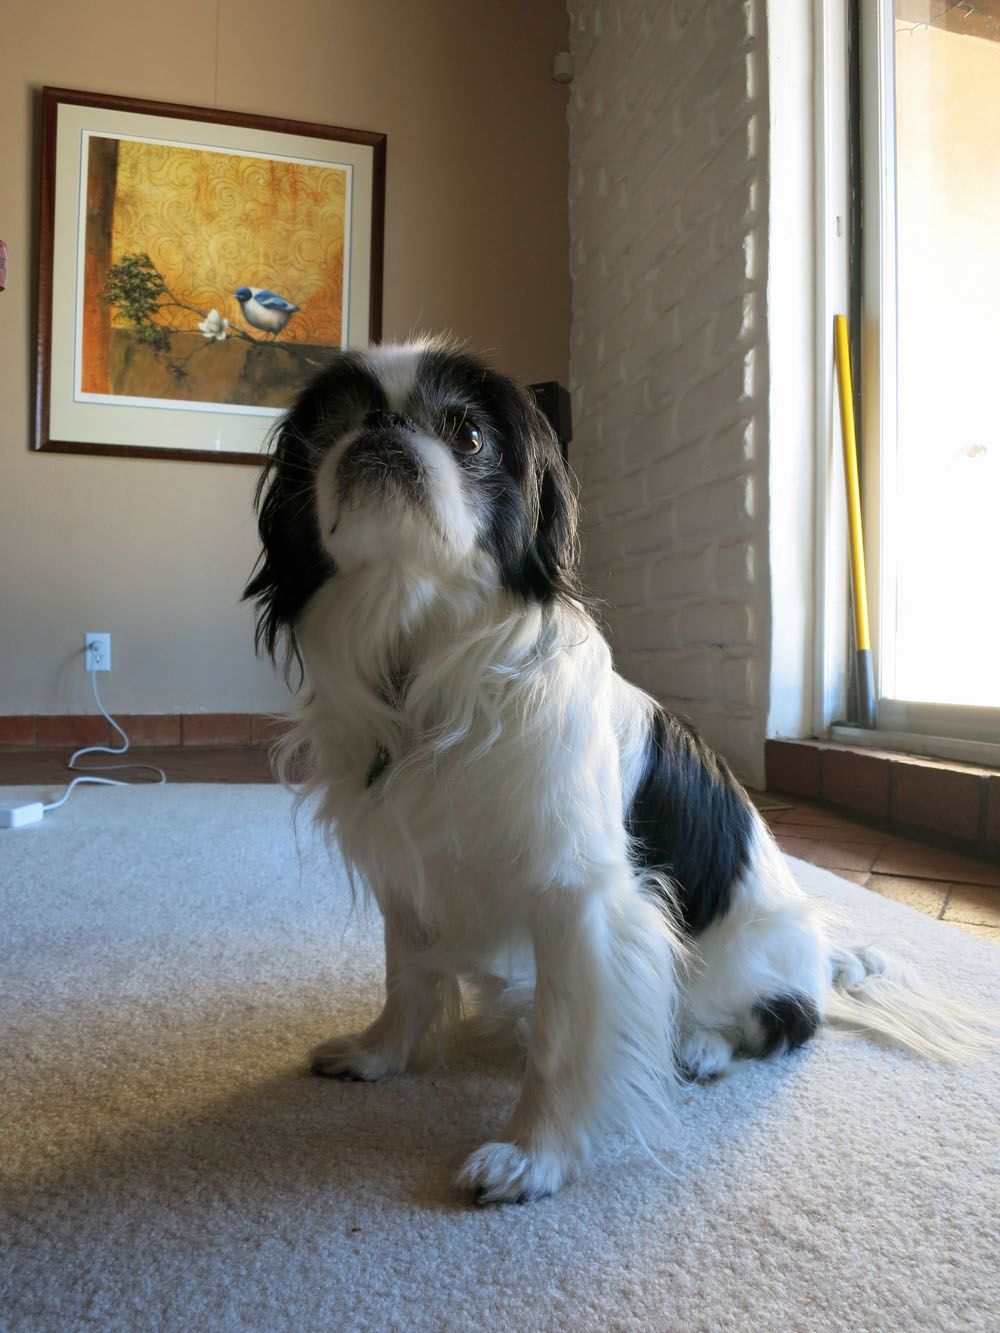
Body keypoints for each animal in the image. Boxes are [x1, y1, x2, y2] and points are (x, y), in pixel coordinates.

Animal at [246, 338, 992, 1203]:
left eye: (469, 434)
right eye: (332, 427)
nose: (382, 426)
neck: (421, 663)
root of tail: (818, 947)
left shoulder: (580, 898)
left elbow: (566, 1034)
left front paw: (532, 1154)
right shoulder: (411, 869)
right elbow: (408, 974)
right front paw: (379, 1055)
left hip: (746, 961)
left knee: (785, 1018)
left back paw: (699, 1045)